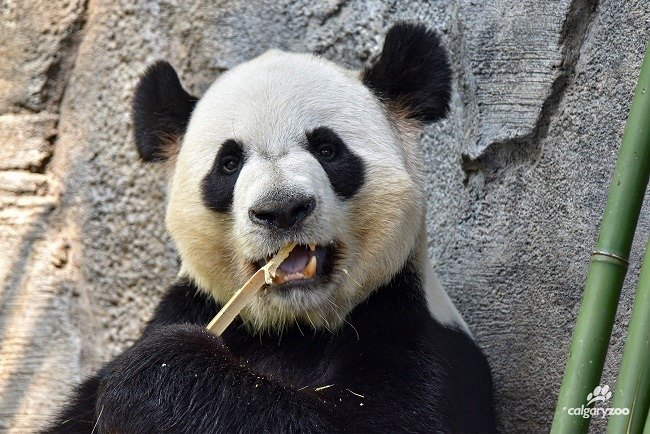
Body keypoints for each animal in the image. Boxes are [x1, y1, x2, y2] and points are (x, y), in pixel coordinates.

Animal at [44, 22, 492, 432]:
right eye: (229, 163)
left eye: (327, 149)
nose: (282, 209)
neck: (293, 327)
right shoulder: (192, 306)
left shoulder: (416, 338)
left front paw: (158, 375)